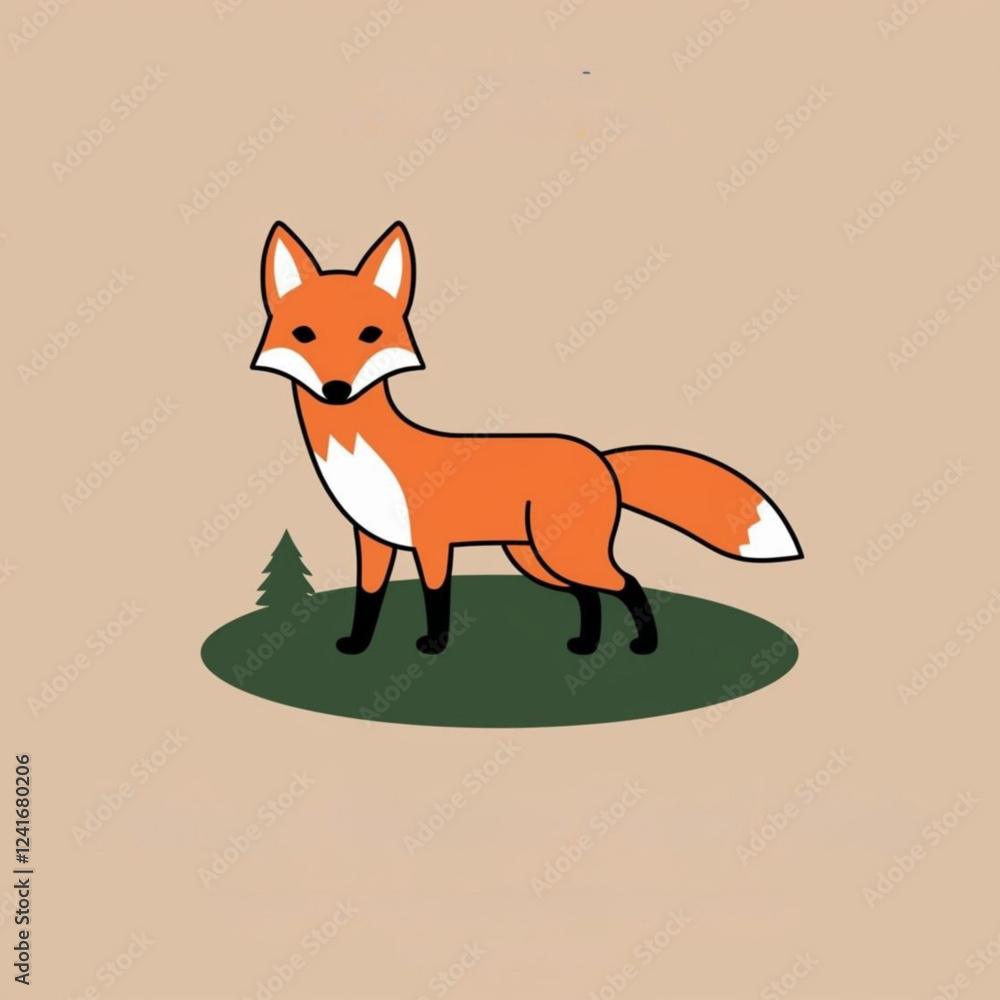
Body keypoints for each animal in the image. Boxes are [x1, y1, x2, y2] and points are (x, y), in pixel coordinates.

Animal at [251, 221, 802, 656]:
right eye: (304, 334)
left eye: (369, 334)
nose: (336, 390)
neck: (364, 454)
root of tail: (601, 457)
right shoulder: (372, 541)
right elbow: (368, 600)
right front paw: (356, 646)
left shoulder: (433, 543)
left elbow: (436, 598)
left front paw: (434, 647)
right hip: (533, 557)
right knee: (588, 595)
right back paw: (585, 647)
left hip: (563, 553)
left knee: (625, 584)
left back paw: (644, 646)